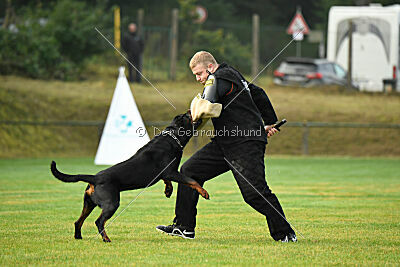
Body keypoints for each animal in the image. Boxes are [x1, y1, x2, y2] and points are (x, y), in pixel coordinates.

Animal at [50, 112, 209, 244]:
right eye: (188, 116)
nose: (190, 110)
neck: (172, 137)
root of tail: (95, 178)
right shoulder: (171, 171)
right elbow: (191, 180)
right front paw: (204, 192)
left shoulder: (167, 174)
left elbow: (169, 181)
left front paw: (168, 191)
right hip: (111, 203)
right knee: (99, 222)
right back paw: (106, 239)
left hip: (88, 203)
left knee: (78, 221)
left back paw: (78, 236)